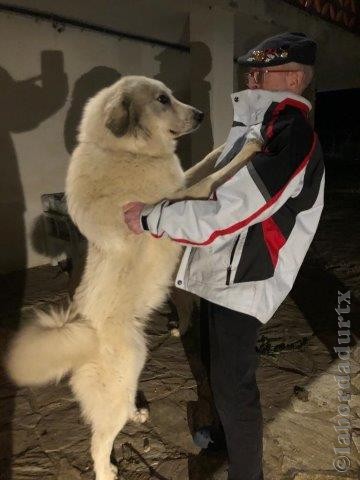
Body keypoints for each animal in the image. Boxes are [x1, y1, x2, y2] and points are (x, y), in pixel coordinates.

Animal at [4, 77, 258, 478]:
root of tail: (79, 338)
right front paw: (250, 146)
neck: (126, 151)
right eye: (162, 99)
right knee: (99, 442)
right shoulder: (183, 199)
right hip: (122, 378)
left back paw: (138, 412)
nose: (201, 114)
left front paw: (230, 141)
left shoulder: (181, 185)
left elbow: (205, 163)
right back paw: (107, 470)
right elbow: (216, 175)